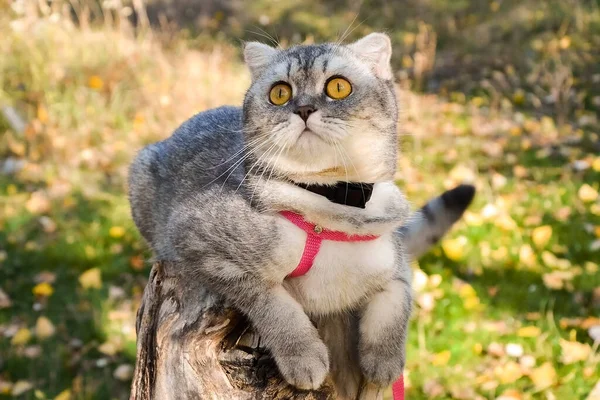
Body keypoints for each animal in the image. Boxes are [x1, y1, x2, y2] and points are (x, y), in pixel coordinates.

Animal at [129, 32, 476, 398]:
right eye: (280, 93)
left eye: (338, 87)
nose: (304, 108)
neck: (337, 201)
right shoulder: (198, 238)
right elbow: (275, 305)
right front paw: (304, 356)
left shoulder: (394, 260)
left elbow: (398, 300)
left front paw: (385, 360)